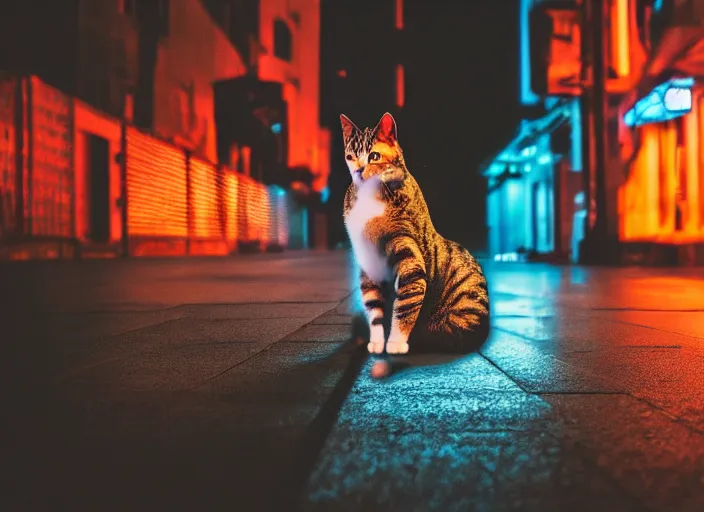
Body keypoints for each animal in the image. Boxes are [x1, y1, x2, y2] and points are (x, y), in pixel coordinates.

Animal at [340, 111, 490, 356]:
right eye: (350, 156)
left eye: (374, 156)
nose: (359, 170)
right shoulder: (368, 264)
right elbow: (374, 308)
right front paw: (377, 341)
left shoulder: (409, 258)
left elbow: (405, 306)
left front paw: (395, 343)